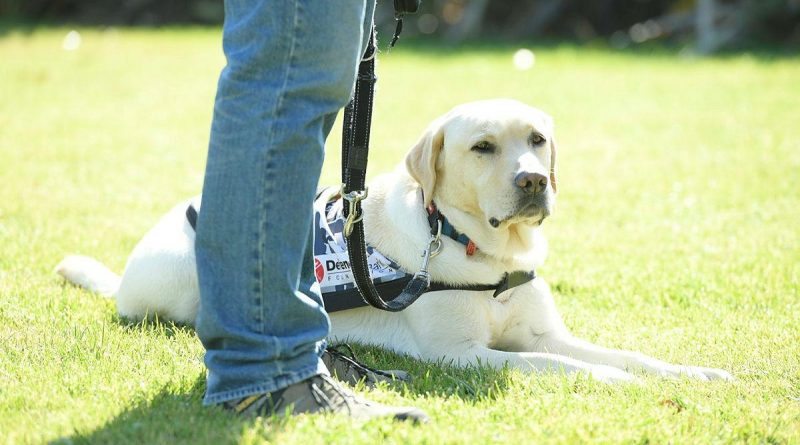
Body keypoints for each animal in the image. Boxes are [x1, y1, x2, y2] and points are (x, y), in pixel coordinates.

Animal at [56, 99, 732, 382]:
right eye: (482, 146)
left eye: (537, 140)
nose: (533, 180)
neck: (487, 255)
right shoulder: (459, 354)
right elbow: (554, 365)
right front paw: (616, 384)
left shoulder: (543, 331)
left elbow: (627, 355)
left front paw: (692, 375)